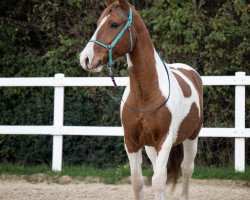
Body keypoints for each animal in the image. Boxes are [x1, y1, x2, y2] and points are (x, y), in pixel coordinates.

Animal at [80, 0, 203, 199]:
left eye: (114, 24)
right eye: (98, 23)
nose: (85, 58)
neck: (145, 96)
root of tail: (190, 72)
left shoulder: (164, 142)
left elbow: (159, 182)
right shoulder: (131, 142)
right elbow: (138, 182)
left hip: (192, 137)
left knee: (186, 170)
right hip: (151, 147)